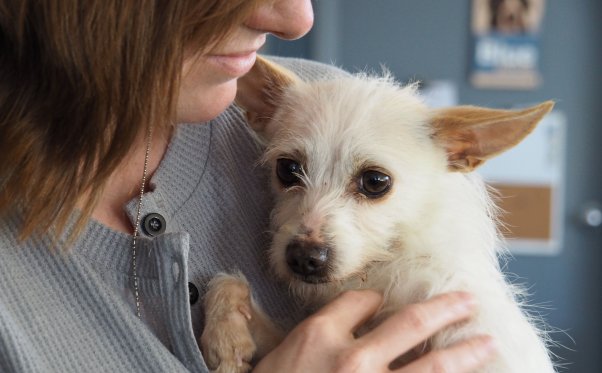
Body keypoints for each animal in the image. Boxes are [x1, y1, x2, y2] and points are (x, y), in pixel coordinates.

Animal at [199, 56, 556, 370]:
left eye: (375, 181)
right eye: (287, 170)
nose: (303, 258)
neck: (388, 267)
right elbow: (229, 283)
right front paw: (225, 340)